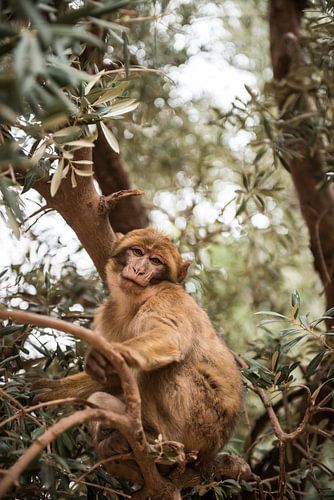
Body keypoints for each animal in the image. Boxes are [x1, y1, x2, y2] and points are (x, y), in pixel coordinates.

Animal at [37, 229, 243, 470]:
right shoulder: (107, 315)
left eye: (155, 261)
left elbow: (170, 336)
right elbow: (113, 376)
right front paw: (51, 390)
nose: (139, 270)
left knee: (169, 368)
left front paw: (106, 355)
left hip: (203, 425)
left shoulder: (168, 299)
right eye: (137, 252)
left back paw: (158, 444)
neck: (133, 305)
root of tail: (212, 451)